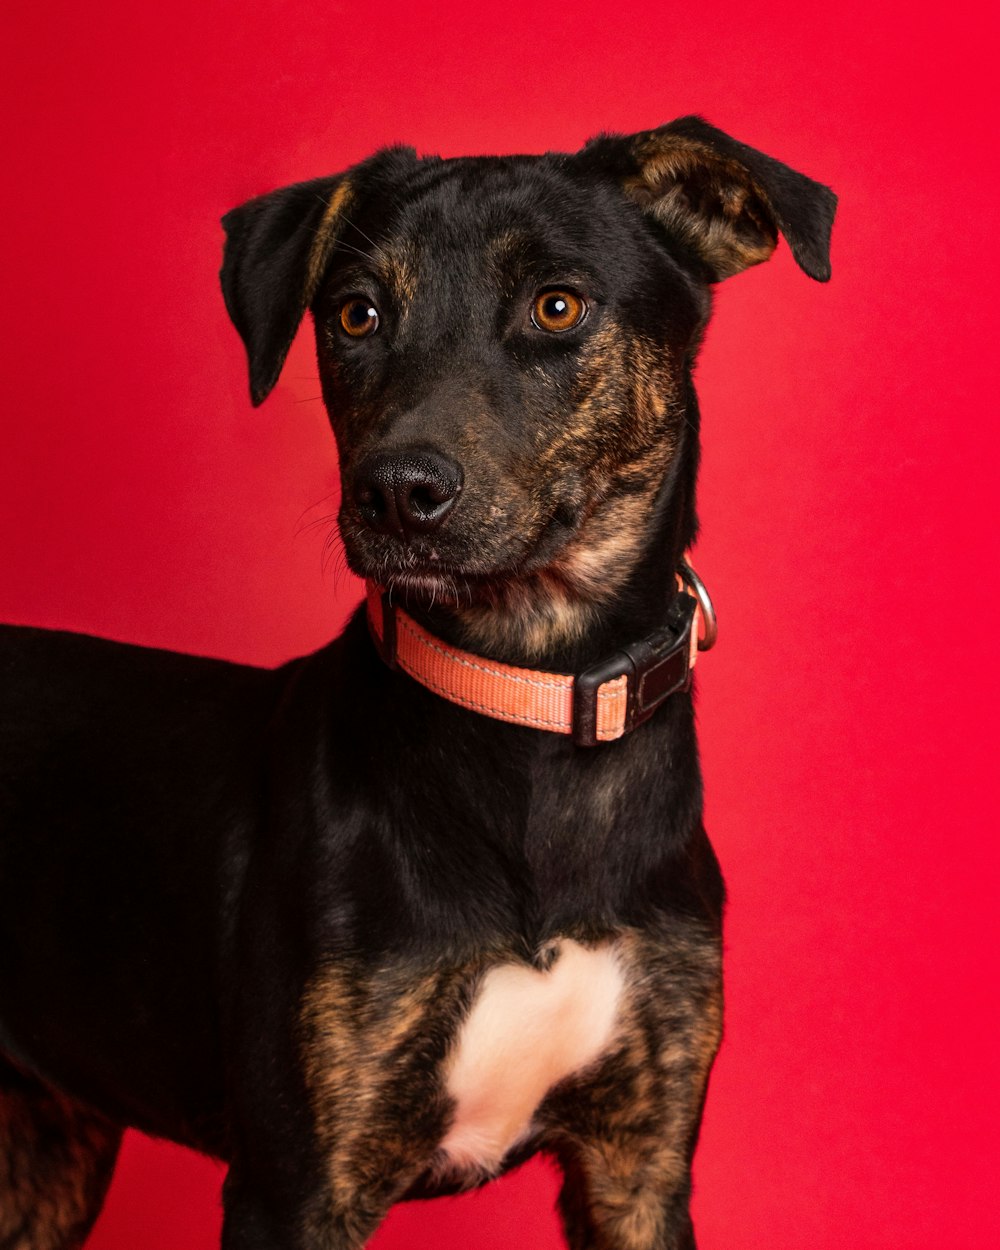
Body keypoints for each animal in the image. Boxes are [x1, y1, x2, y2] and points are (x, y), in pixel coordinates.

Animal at [0, 119, 835, 1250]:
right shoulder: (296, 1183)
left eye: (557, 305)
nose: (396, 492)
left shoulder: (643, 1161)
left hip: (48, 1144)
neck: (532, 698)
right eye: (357, 313)